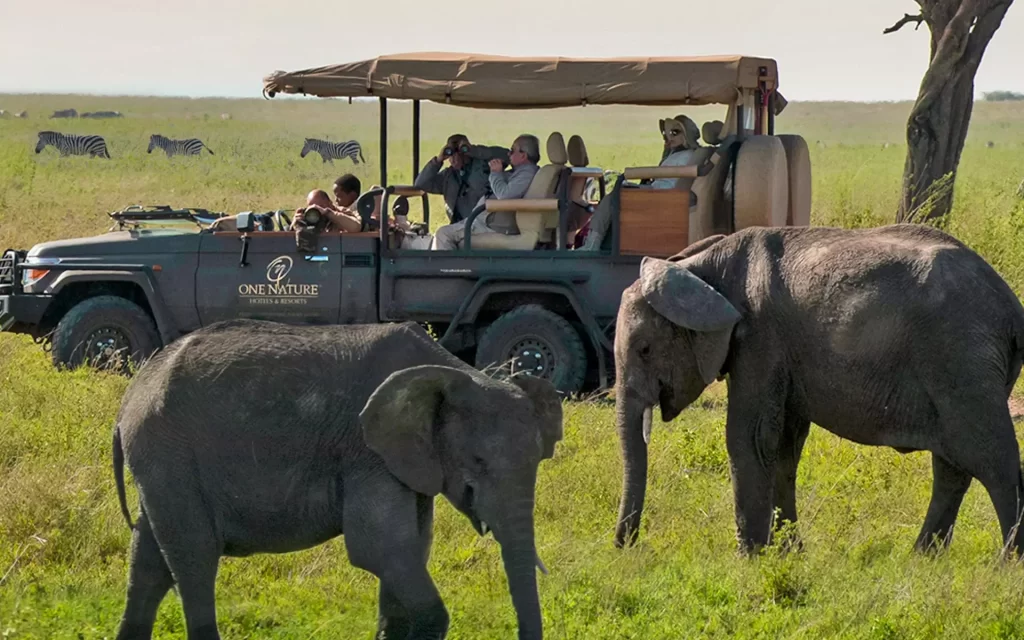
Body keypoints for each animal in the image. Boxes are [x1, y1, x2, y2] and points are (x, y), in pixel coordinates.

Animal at [111, 319, 561, 638]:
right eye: (478, 461)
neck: (456, 373)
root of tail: (133, 394)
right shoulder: (365, 452)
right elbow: (378, 548)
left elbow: (411, 549)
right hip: (169, 451)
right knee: (194, 557)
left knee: (149, 563)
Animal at [610, 223, 1019, 552]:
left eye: (644, 349)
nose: (625, 546)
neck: (701, 268)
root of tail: (1012, 308)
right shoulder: (783, 355)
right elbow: (784, 447)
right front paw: (788, 554)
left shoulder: (760, 339)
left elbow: (749, 438)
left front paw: (750, 558)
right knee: (952, 469)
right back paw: (922, 559)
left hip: (961, 359)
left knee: (994, 463)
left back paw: (1007, 564)